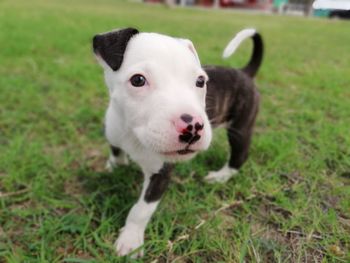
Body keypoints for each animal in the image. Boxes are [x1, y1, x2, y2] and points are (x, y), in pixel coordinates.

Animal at [92, 28, 262, 258]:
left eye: (200, 81)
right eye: (138, 80)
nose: (193, 127)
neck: (133, 133)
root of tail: (243, 73)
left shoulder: (161, 173)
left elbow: (141, 210)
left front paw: (130, 240)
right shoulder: (114, 132)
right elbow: (116, 153)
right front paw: (113, 166)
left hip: (241, 128)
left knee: (240, 155)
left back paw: (221, 176)